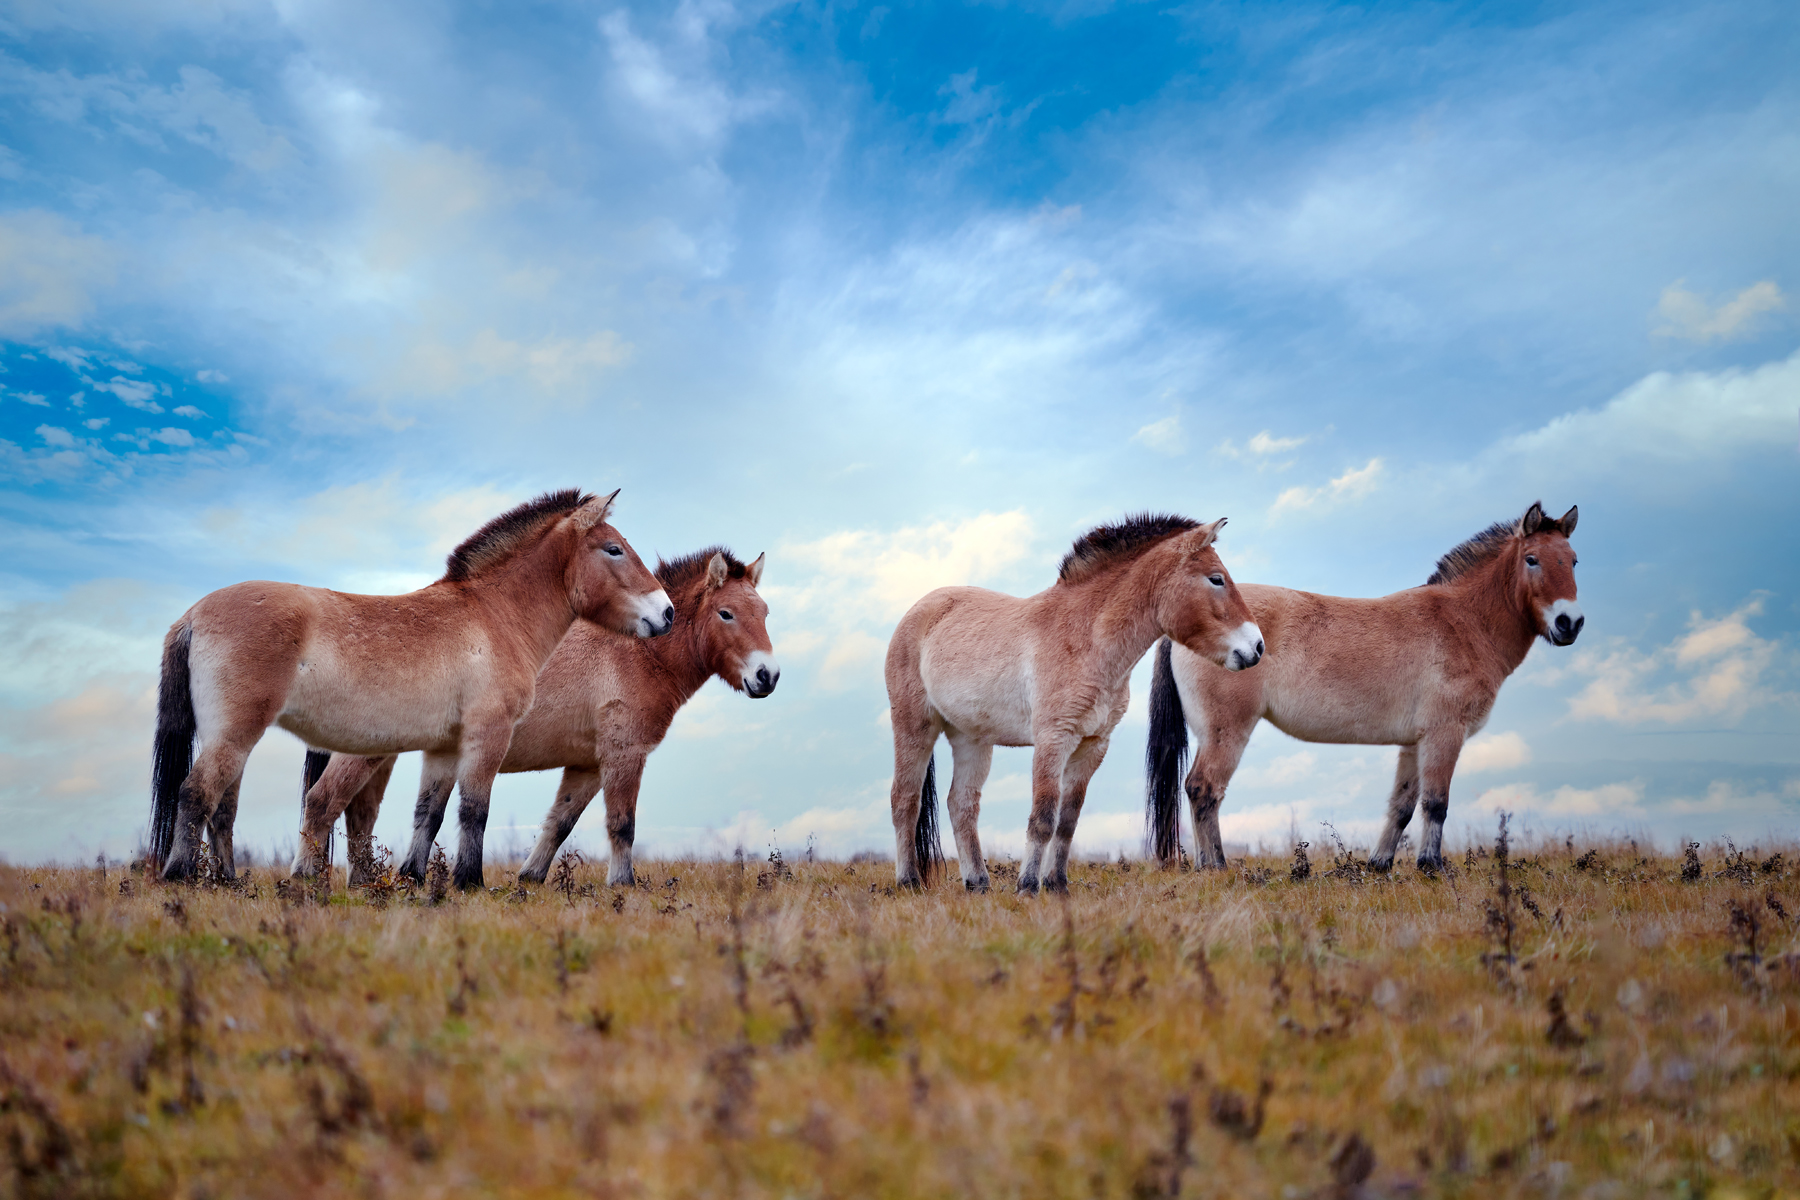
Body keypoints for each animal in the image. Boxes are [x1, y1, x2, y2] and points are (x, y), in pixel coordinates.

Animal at [149, 489, 674, 890]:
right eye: (613, 549)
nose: (666, 613)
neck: (494, 616)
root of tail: (192, 615)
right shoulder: (488, 735)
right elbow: (474, 810)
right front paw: (469, 882)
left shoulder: (443, 748)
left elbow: (431, 813)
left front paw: (415, 880)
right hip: (235, 733)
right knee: (197, 793)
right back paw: (180, 876)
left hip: (234, 737)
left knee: (223, 807)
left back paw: (229, 881)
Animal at [294, 548, 777, 889]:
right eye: (726, 613)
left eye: (766, 613)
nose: (767, 676)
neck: (637, 652)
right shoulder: (624, 756)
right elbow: (622, 824)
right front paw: (623, 885)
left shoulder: (586, 766)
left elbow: (559, 822)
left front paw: (530, 878)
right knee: (324, 803)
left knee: (360, 815)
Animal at [886, 514, 1264, 895]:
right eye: (1216, 579)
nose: (1257, 647)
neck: (1087, 638)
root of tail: (919, 611)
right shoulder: (1053, 740)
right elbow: (1043, 817)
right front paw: (1028, 886)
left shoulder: (1092, 746)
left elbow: (1068, 819)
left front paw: (1056, 884)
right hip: (915, 727)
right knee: (905, 800)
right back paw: (909, 880)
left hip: (971, 739)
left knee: (961, 804)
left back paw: (977, 883)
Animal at [1144, 501, 1582, 874]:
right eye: (1531, 559)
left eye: (1574, 560)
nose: (1569, 623)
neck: (1464, 621)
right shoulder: (1445, 734)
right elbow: (1436, 803)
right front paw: (1432, 867)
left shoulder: (1416, 742)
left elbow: (1403, 805)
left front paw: (1380, 864)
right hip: (1227, 732)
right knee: (1204, 789)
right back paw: (1216, 866)